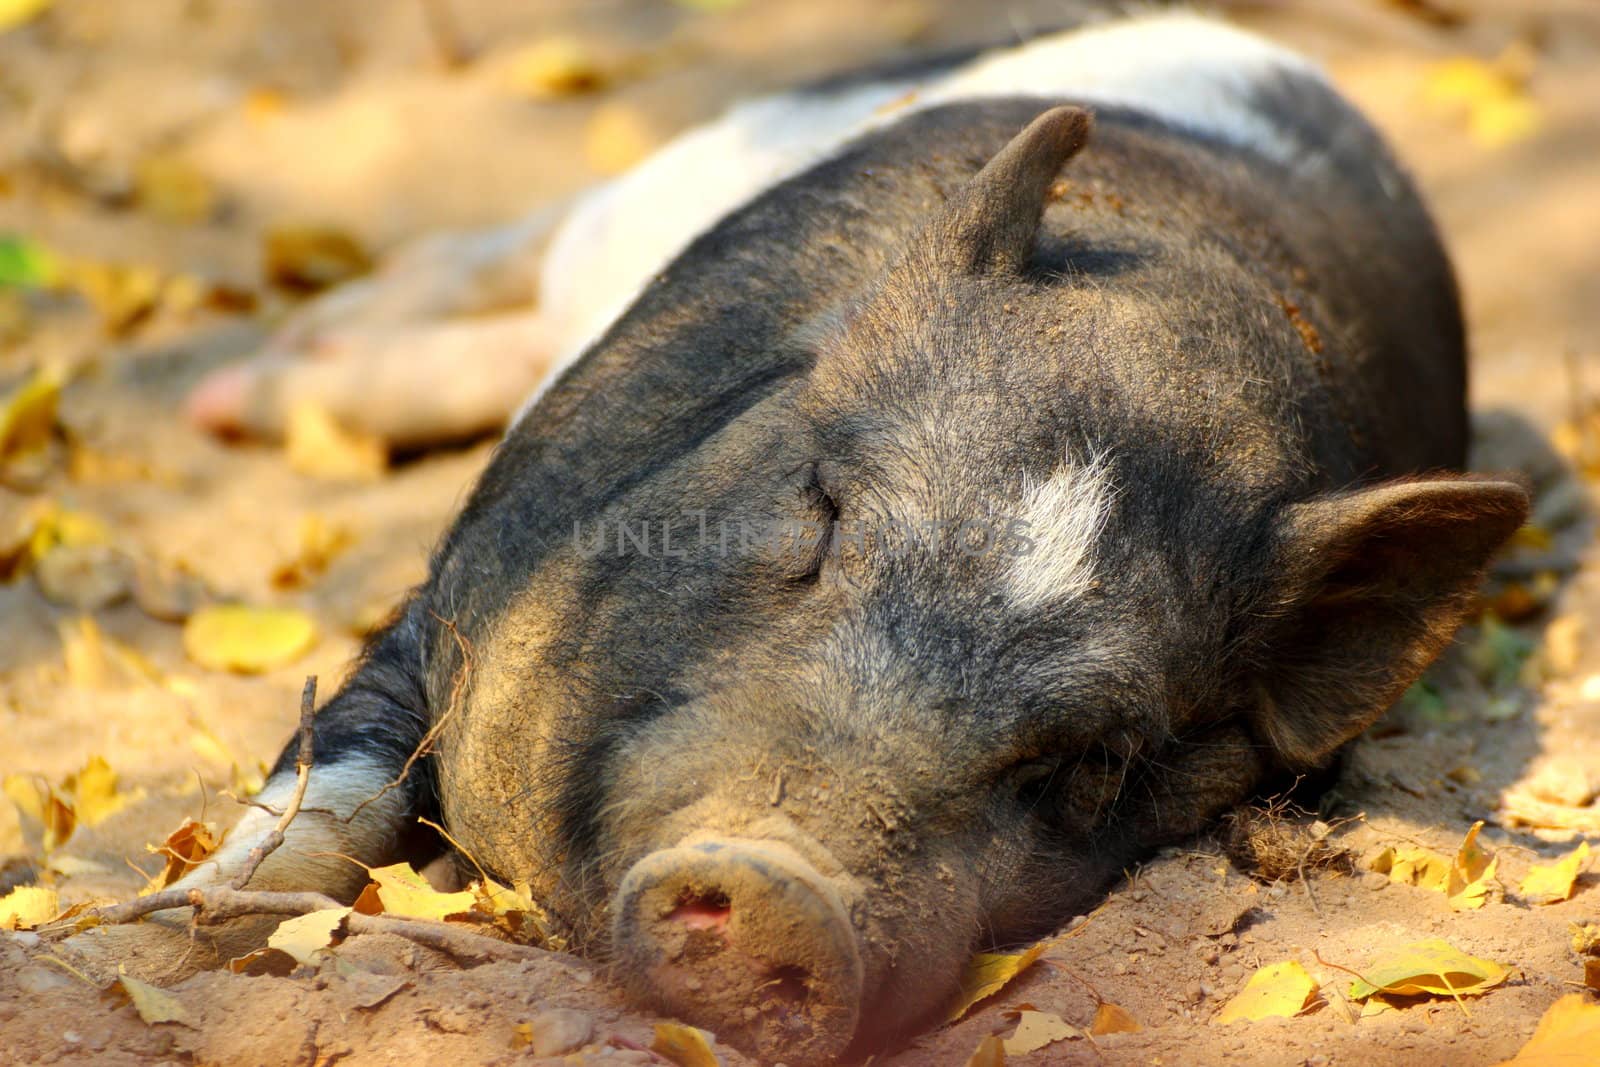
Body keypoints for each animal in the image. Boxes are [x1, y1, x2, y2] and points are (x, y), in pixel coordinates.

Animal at [175, 12, 1523, 1062]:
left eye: (1097, 758)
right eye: (823, 512)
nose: (783, 885)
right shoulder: (457, 586)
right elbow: (329, 787)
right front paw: (195, 921)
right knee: (523, 240)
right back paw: (248, 380)